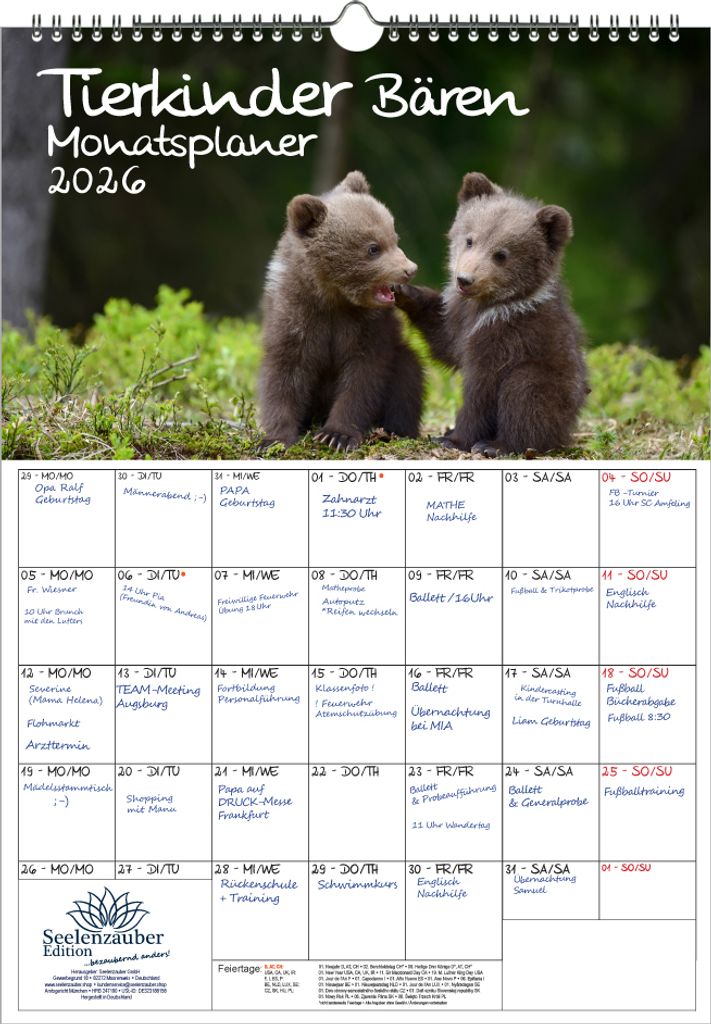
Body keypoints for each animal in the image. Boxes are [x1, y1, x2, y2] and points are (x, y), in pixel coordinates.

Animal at [258, 170, 424, 452]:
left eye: (394, 238)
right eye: (373, 248)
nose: (409, 269)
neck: (333, 298)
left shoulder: (367, 326)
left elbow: (362, 377)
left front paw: (337, 435)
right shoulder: (295, 315)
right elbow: (284, 373)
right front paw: (274, 438)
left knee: (408, 375)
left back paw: (395, 430)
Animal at [395, 171, 588, 456]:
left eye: (501, 254)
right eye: (470, 239)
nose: (464, 280)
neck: (488, 306)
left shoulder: (506, 336)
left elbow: (482, 390)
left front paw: (455, 439)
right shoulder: (460, 318)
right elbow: (445, 341)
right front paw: (405, 292)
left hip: (553, 385)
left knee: (524, 393)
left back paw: (496, 445)